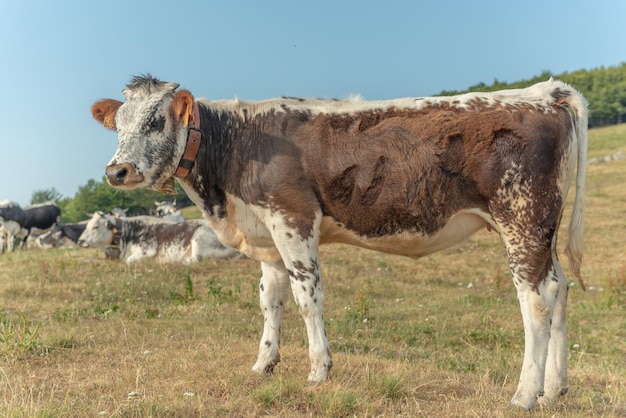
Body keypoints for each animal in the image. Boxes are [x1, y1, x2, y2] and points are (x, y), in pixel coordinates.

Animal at [77, 212, 241, 264]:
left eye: (95, 226)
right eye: (87, 225)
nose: (80, 240)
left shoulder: (146, 251)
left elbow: (129, 261)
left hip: (199, 238)